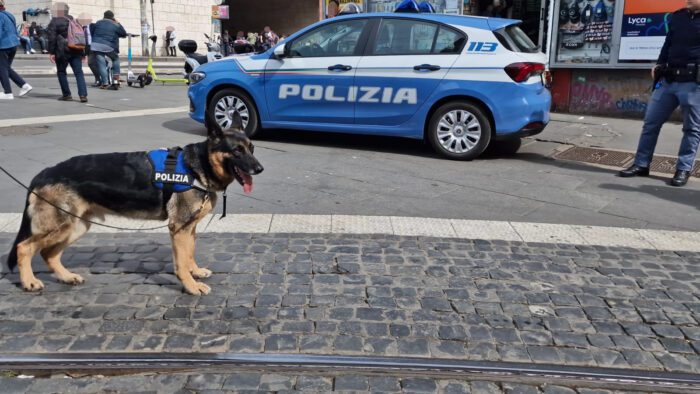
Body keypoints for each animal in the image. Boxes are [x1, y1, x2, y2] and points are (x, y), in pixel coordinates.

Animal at [6, 114, 262, 296]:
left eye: (251, 149)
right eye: (236, 151)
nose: (259, 169)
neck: (197, 166)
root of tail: (44, 173)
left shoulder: (189, 228)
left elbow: (189, 254)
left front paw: (195, 272)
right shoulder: (178, 229)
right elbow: (181, 262)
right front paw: (190, 286)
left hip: (75, 227)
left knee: (49, 254)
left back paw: (67, 277)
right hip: (61, 226)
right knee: (24, 247)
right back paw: (29, 281)